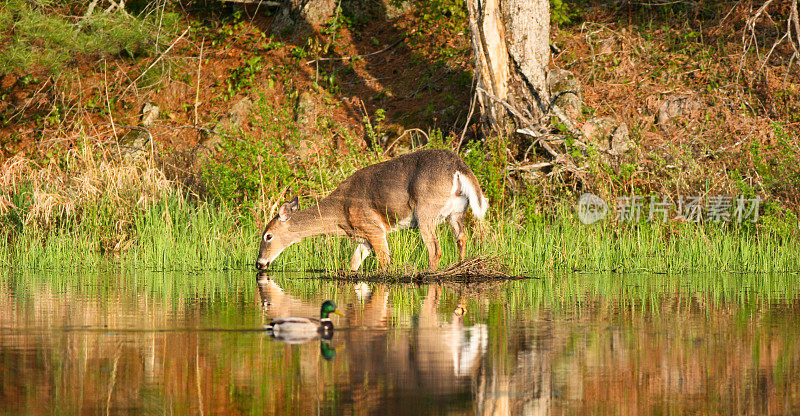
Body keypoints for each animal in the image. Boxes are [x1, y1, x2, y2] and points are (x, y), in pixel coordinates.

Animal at [258, 148, 488, 272]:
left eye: (268, 236)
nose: (260, 263)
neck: (340, 215)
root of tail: (459, 166)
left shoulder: (373, 227)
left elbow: (385, 262)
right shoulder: (364, 237)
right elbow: (353, 264)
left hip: (425, 210)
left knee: (435, 249)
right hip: (457, 211)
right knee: (461, 238)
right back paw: (460, 265)